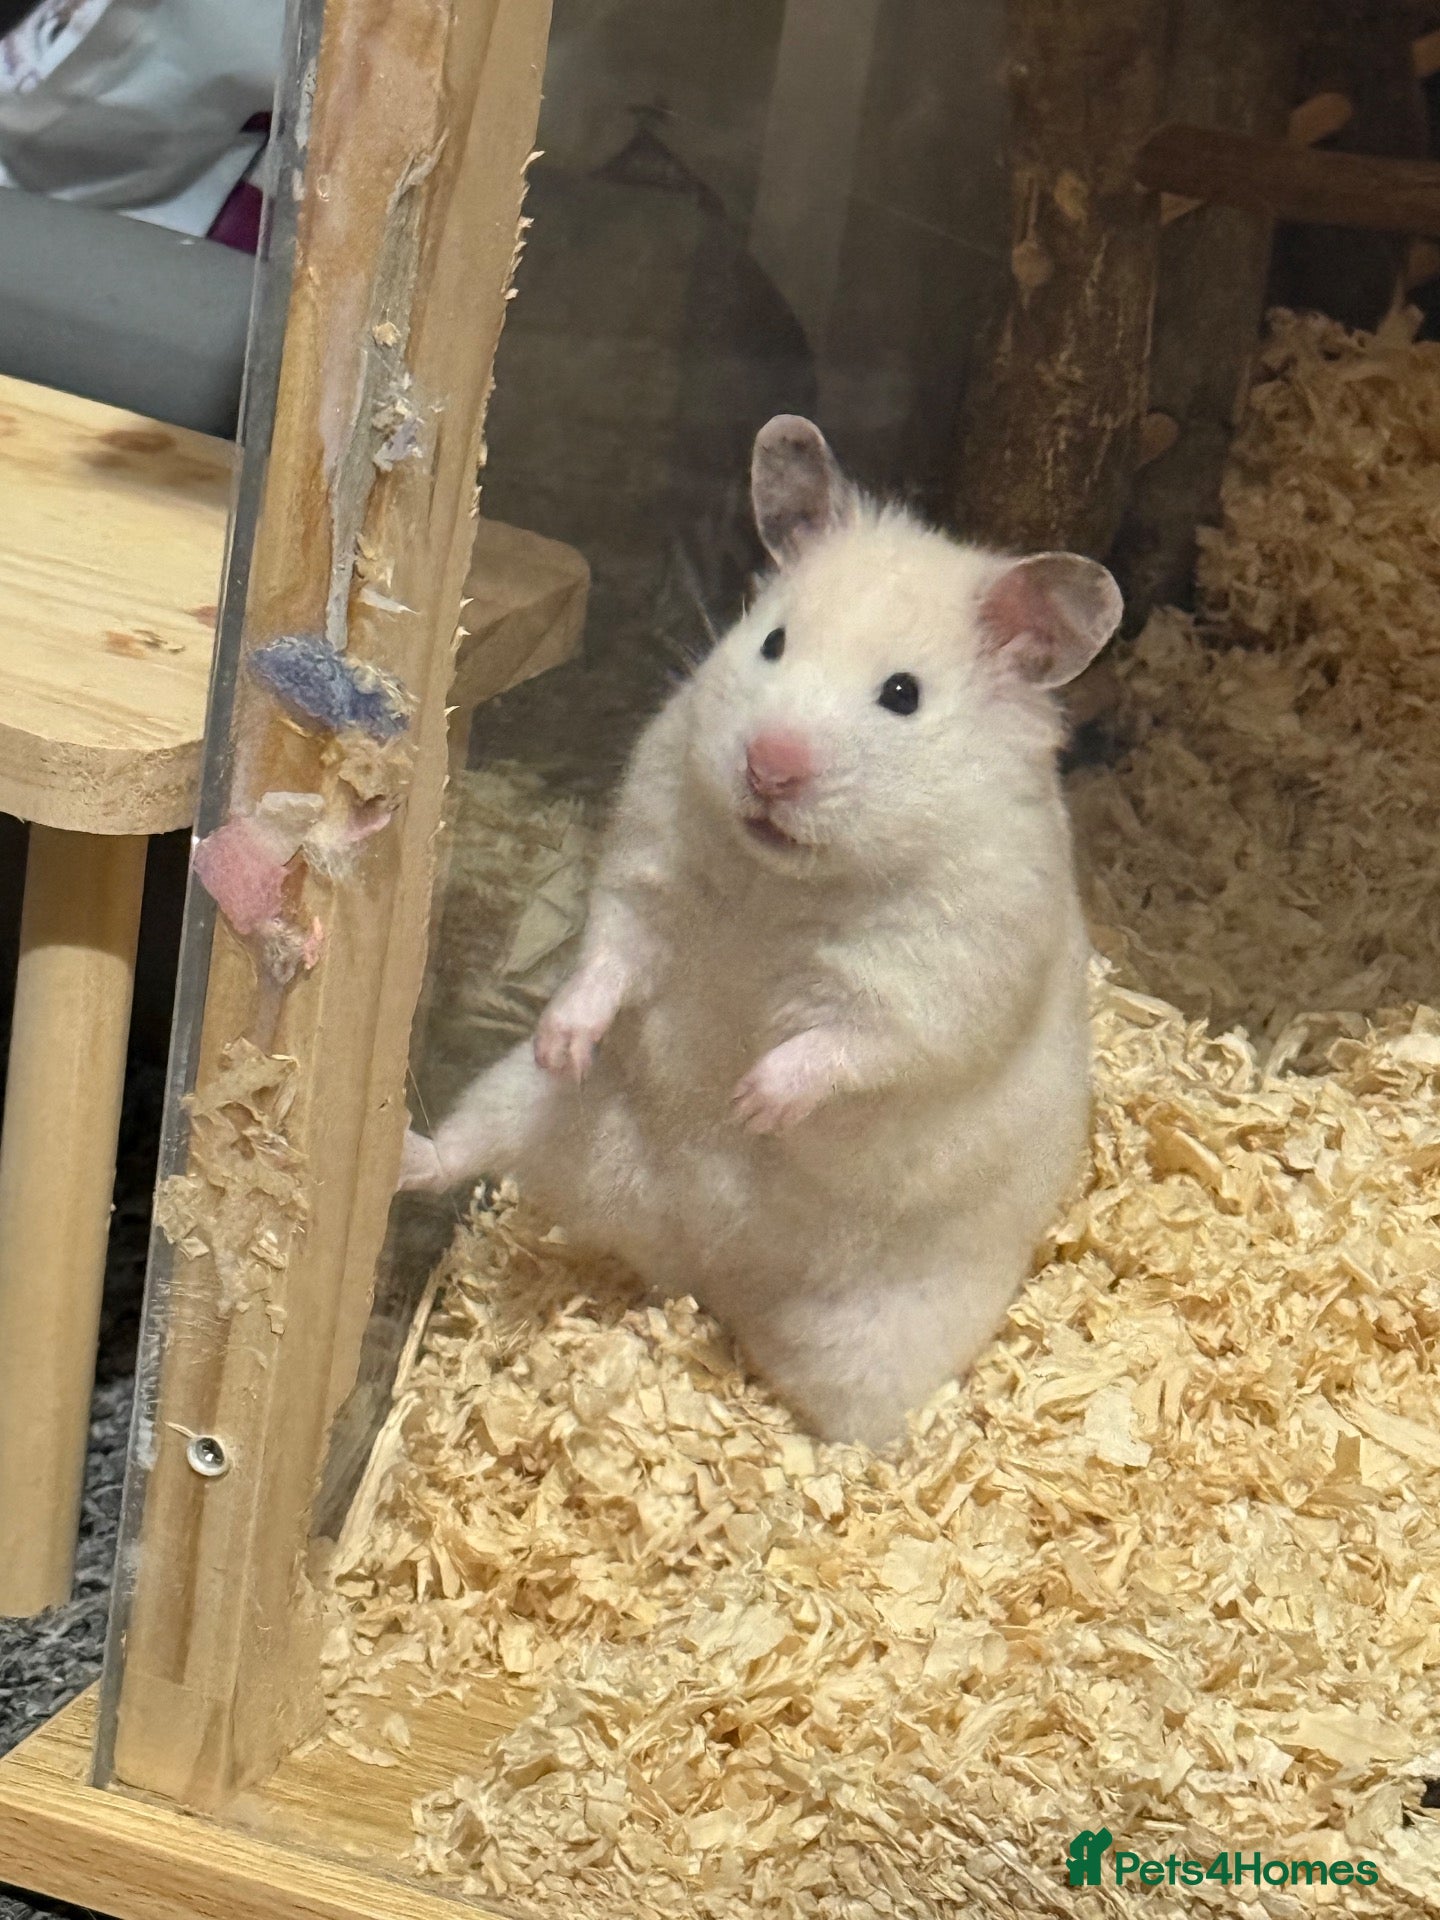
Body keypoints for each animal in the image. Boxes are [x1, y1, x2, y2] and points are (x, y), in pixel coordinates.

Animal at [400, 415, 1122, 1448]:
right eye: (774, 642)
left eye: (902, 695)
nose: (768, 766)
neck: (779, 886)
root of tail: (697, 1265)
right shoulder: (646, 875)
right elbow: (607, 958)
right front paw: (568, 1040)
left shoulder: (938, 975)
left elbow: (850, 1044)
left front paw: (750, 1104)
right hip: (530, 1111)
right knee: (461, 1149)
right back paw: (403, 1152)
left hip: (881, 1346)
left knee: (858, 1429)